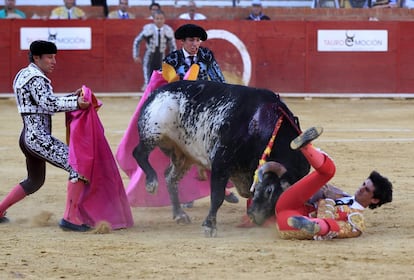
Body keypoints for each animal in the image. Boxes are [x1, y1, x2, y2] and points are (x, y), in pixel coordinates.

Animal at [133, 80, 310, 236]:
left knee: (170, 178)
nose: (256, 218)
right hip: (153, 132)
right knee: (139, 153)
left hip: (183, 155)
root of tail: (157, 92)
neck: (260, 122)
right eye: (269, 190)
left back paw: (179, 214)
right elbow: (217, 196)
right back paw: (151, 183)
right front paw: (209, 226)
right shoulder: (221, 163)